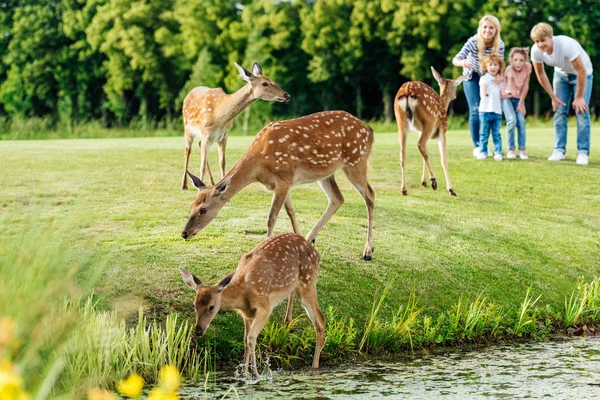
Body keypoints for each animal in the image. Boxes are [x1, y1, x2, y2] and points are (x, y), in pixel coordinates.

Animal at [179, 61, 290, 190]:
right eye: (264, 83)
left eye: (272, 80)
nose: (286, 95)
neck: (219, 115)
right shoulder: (205, 131)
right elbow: (202, 164)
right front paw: (199, 187)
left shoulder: (224, 135)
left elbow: (222, 162)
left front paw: (220, 185)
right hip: (187, 127)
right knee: (187, 151)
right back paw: (184, 184)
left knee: (199, 146)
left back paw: (211, 182)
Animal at [180, 110, 376, 260]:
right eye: (191, 206)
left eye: (203, 209)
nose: (184, 233)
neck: (258, 166)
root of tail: (369, 130)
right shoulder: (283, 182)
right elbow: (291, 212)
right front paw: (299, 244)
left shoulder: (283, 178)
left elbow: (271, 217)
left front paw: (263, 250)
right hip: (326, 172)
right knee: (337, 198)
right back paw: (310, 239)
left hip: (356, 161)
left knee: (370, 195)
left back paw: (368, 251)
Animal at [180, 231, 326, 378]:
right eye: (194, 305)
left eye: (212, 307)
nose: (198, 331)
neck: (243, 292)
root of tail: (316, 253)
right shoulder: (247, 314)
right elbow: (245, 341)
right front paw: (245, 375)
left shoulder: (264, 307)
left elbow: (251, 338)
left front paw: (256, 375)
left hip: (307, 283)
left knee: (320, 321)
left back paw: (315, 367)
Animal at [394, 67, 468, 197]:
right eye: (455, 85)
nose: (455, 96)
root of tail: (407, 90)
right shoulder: (442, 129)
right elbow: (443, 159)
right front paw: (451, 189)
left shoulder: (420, 130)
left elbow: (425, 154)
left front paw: (423, 181)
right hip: (429, 119)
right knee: (420, 144)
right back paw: (434, 181)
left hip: (400, 121)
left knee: (403, 152)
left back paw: (404, 189)